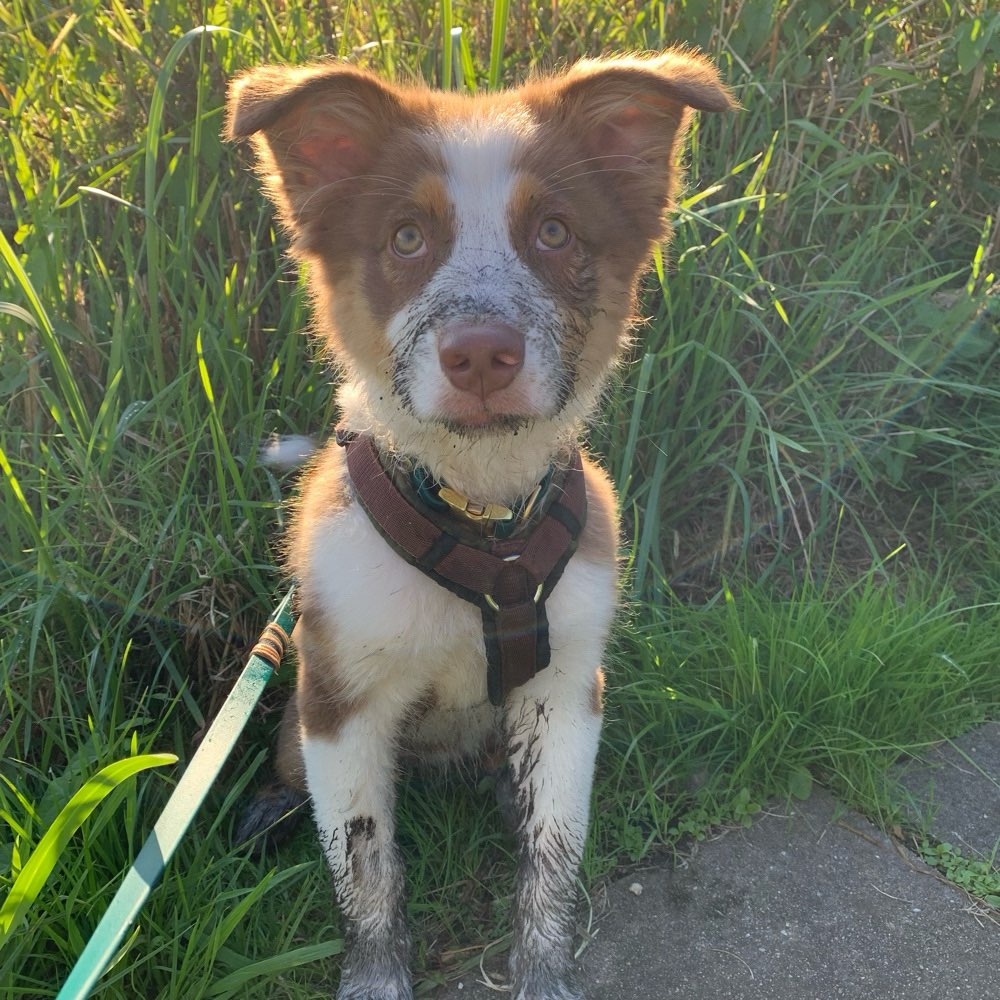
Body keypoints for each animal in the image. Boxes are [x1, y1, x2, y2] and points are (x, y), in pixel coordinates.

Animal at [229, 52, 736, 1000]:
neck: (483, 520)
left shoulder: (568, 689)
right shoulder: (342, 702)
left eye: (554, 232)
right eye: (405, 238)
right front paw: (376, 977)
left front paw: (542, 972)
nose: (479, 357)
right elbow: (365, 863)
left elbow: (554, 852)